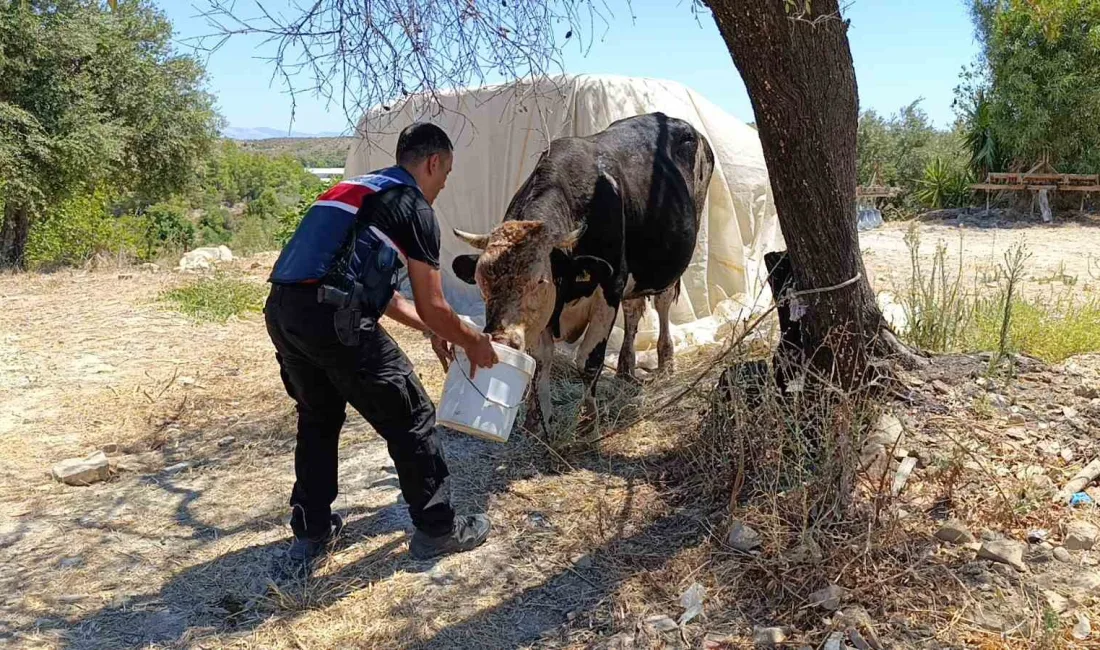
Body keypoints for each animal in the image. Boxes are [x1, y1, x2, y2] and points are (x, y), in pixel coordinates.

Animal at [453, 113, 717, 426]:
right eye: (481, 281)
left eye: (540, 281)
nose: (501, 338)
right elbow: (540, 359)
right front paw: (537, 417)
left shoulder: (610, 286)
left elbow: (588, 361)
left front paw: (589, 420)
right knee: (633, 310)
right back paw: (626, 368)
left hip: (668, 263)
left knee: (662, 303)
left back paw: (666, 361)